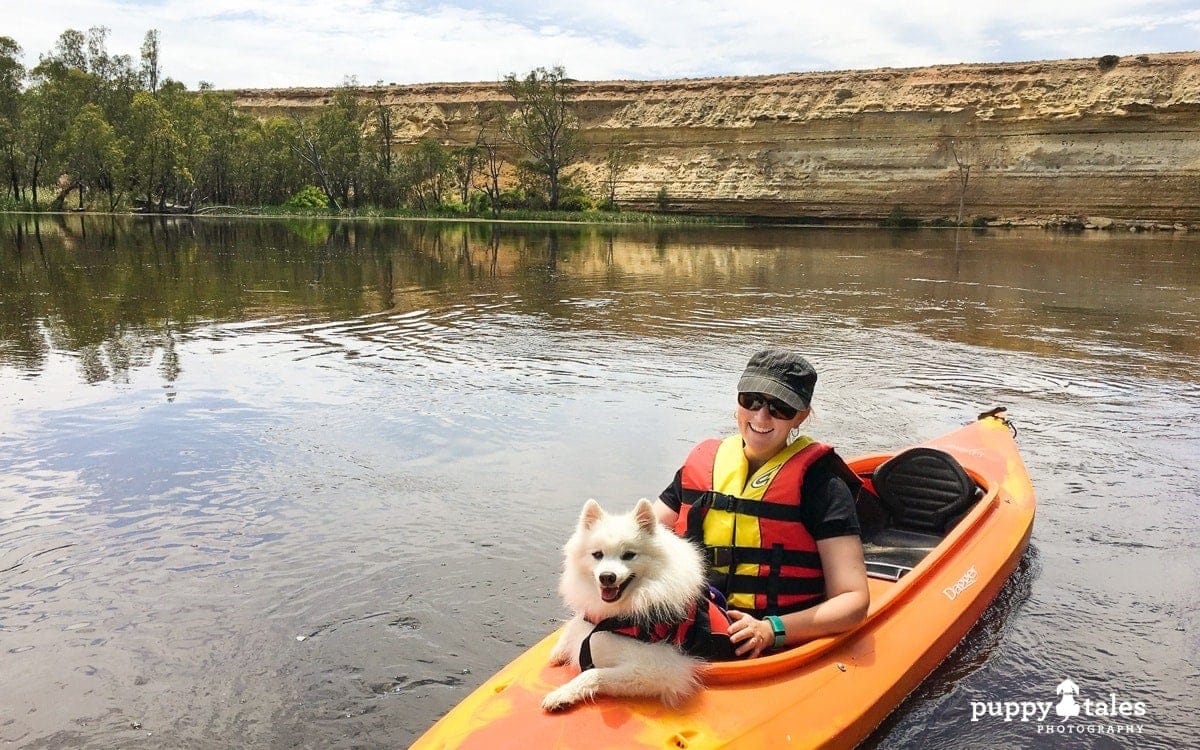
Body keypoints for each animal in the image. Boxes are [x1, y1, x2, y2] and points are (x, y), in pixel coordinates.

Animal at [544, 496, 729, 705]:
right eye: (597, 554)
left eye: (629, 555)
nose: (607, 577)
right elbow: (573, 625)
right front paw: (558, 652)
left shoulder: (660, 669)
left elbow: (594, 674)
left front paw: (562, 694)